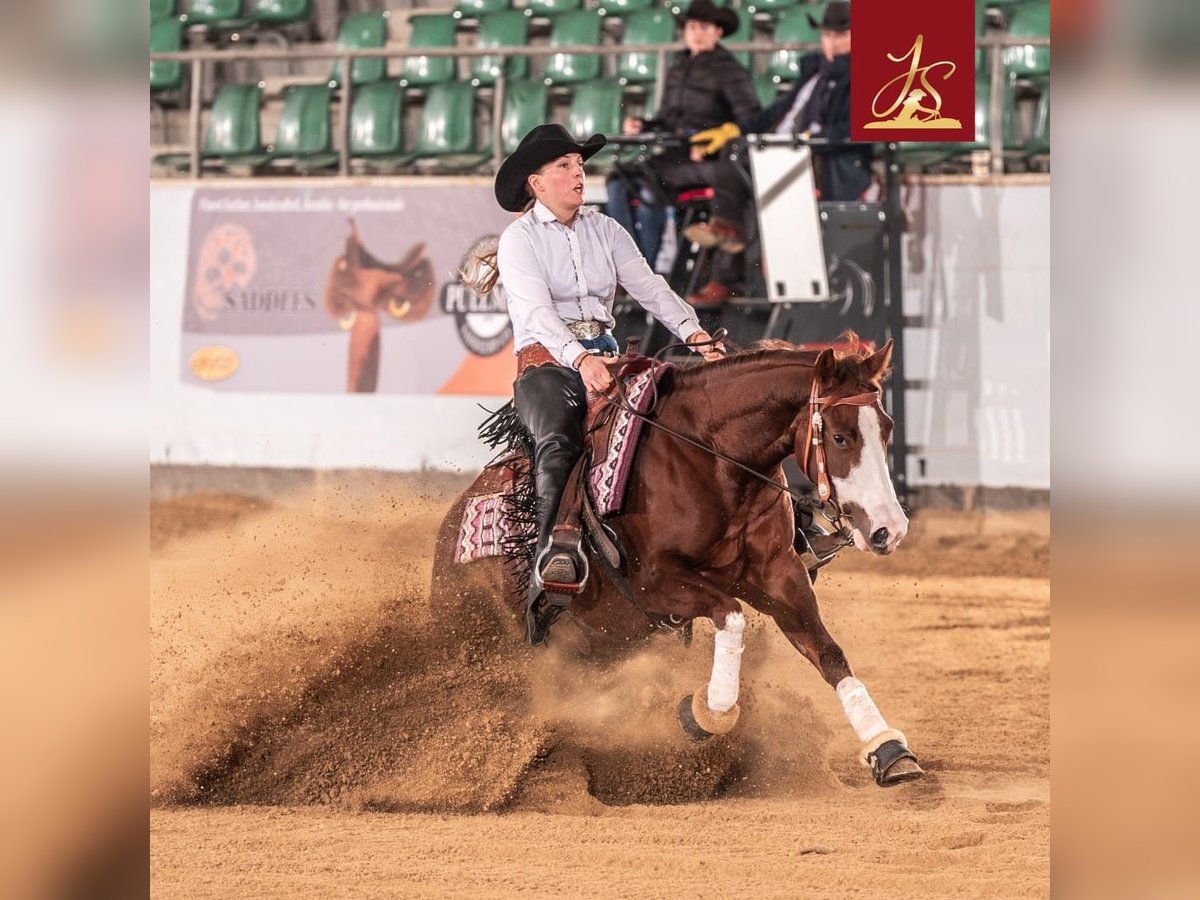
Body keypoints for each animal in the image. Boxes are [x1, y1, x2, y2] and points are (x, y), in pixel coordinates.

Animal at [427, 340, 921, 787]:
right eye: (839, 437)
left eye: (888, 428)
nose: (889, 529)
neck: (711, 460)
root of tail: (449, 531)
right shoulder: (655, 582)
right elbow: (731, 616)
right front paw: (706, 712)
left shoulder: (778, 571)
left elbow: (827, 651)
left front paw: (887, 748)